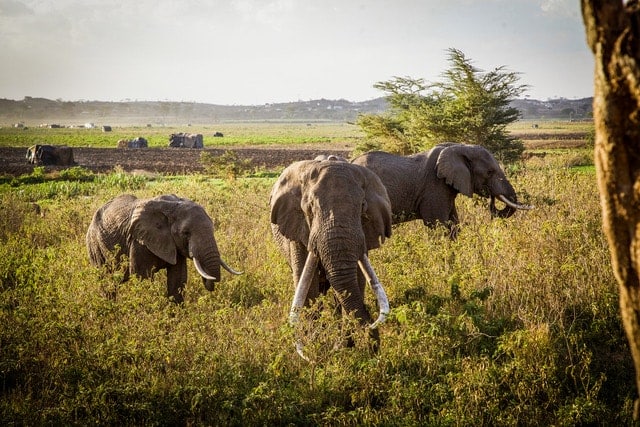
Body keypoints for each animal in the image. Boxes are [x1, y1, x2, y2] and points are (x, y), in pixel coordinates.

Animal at [86, 194, 241, 303]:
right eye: (186, 233)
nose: (210, 282)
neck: (173, 206)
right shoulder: (139, 242)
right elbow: (142, 277)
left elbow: (178, 279)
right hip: (94, 244)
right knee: (107, 281)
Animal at [270, 159, 393, 356]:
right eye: (310, 208)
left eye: (362, 207)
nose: (373, 348)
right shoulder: (297, 231)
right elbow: (308, 287)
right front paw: (314, 348)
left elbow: (356, 282)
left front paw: (344, 347)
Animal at [352, 143, 533, 239]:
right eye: (489, 172)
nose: (492, 198)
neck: (459, 147)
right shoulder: (434, 187)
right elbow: (438, 225)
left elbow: (454, 225)